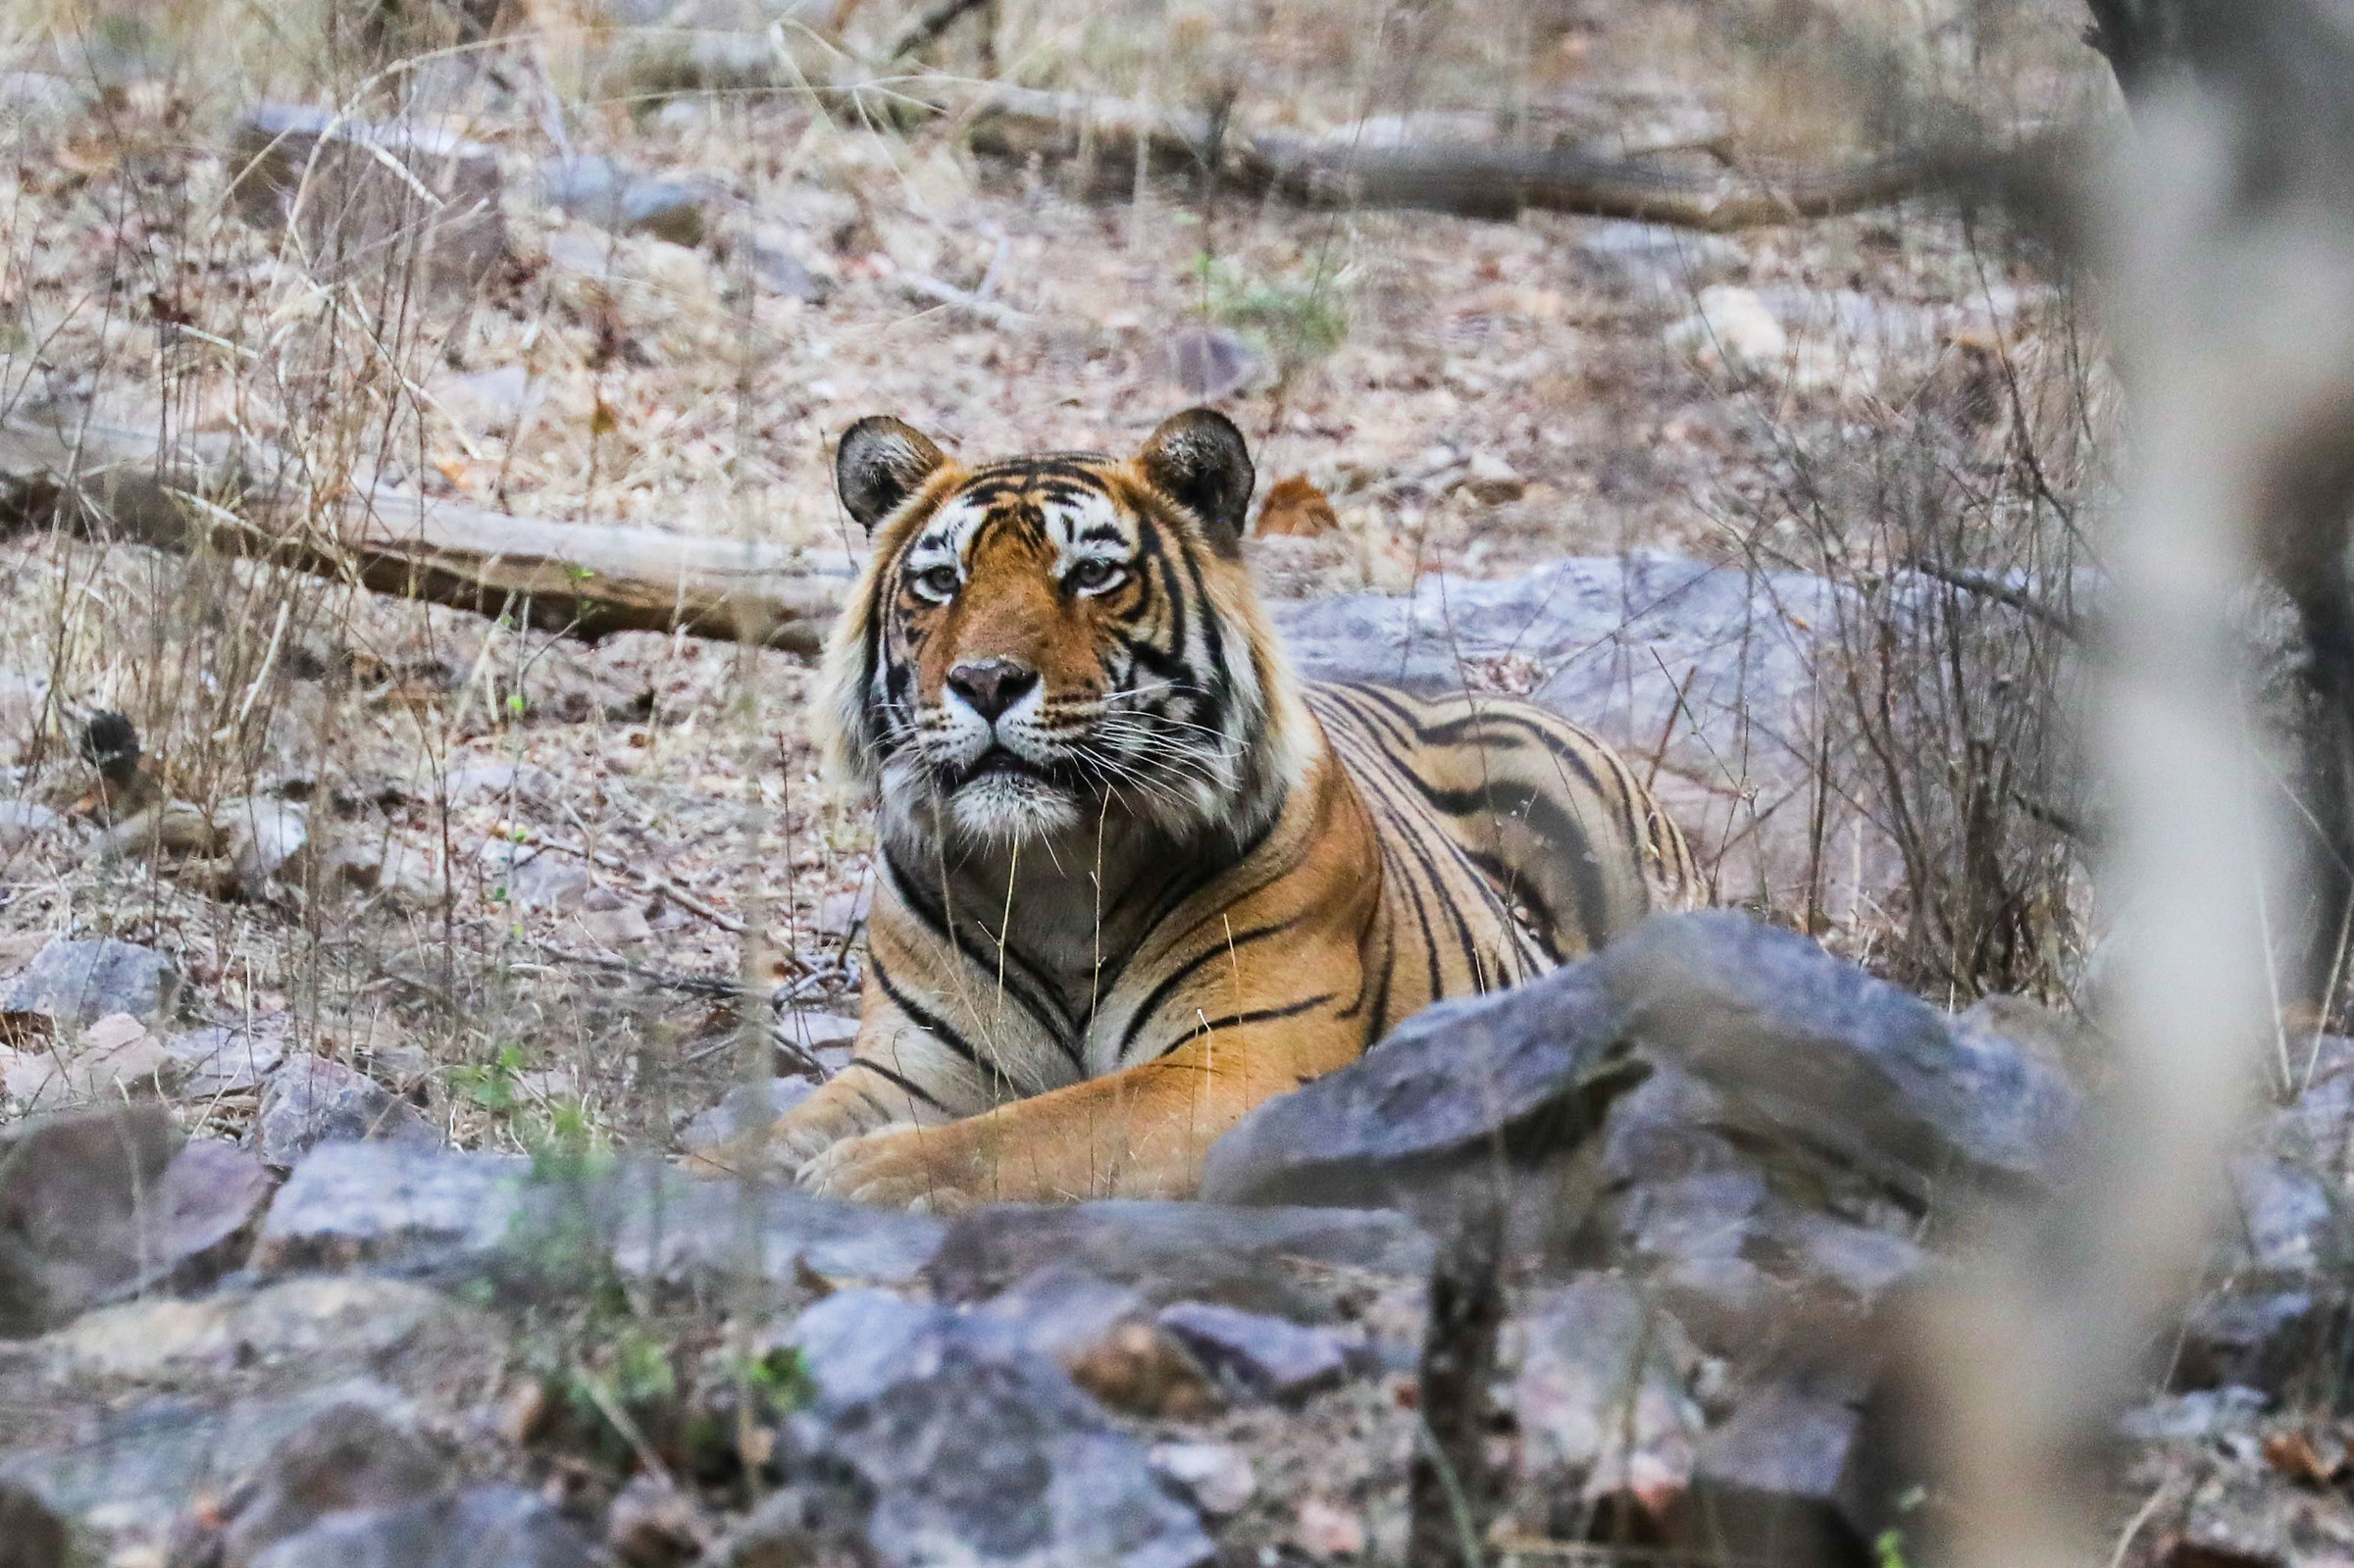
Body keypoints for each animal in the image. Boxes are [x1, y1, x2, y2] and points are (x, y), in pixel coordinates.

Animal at [760, 407, 1697, 1210]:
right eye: (941, 581)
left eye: (1092, 573)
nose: (985, 681)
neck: (1054, 871)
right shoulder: (909, 1070)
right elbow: (770, 1136)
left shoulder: (1243, 1067)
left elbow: (1052, 1123)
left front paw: (869, 1174)